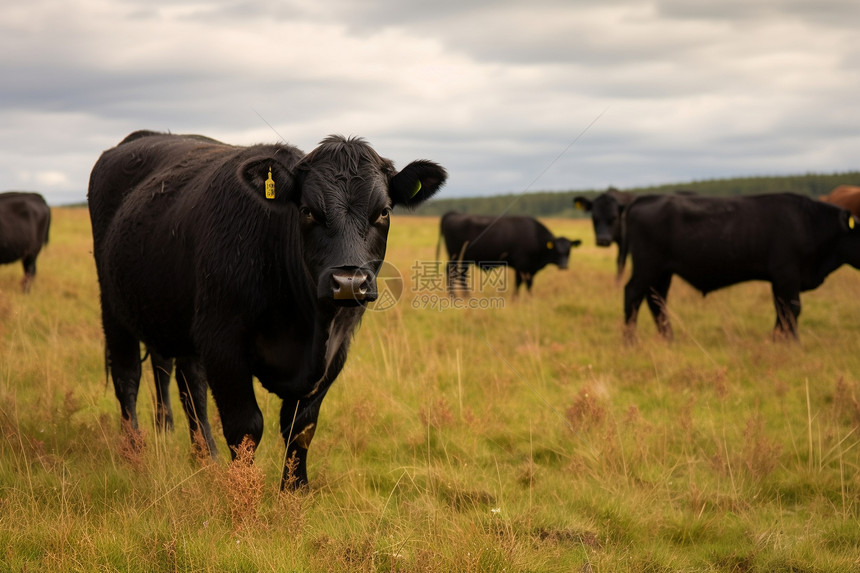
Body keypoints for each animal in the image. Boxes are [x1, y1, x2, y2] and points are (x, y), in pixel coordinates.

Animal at [88, 131, 446, 488]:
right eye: (308, 211)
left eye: (383, 212)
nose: (348, 282)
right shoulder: (223, 342)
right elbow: (245, 427)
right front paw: (243, 493)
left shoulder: (336, 351)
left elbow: (300, 427)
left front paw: (295, 491)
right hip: (114, 308)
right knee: (128, 377)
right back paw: (134, 452)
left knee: (191, 385)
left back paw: (205, 457)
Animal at [436, 212, 576, 298]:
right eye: (557, 250)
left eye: (569, 250)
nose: (564, 266)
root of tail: (454, 213)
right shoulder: (522, 266)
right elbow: (519, 283)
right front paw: (516, 298)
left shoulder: (530, 269)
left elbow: (529, 284)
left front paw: (529, 298)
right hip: (456, 255)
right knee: (451, 271)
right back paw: (454, 297)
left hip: (464, 258)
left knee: (461, 275)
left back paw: (466, 296)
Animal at [620, 194, 860, 340]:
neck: (809, 223)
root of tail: (646, 197)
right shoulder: (787, 276)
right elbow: (792, 310)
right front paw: (793, 343)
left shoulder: (779, 281)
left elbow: (781, 310)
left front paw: (778, 341)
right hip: (646, 268)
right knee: (632, 295)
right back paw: (630, 342)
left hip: (662, 273)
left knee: (657, 301)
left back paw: (669, 340)